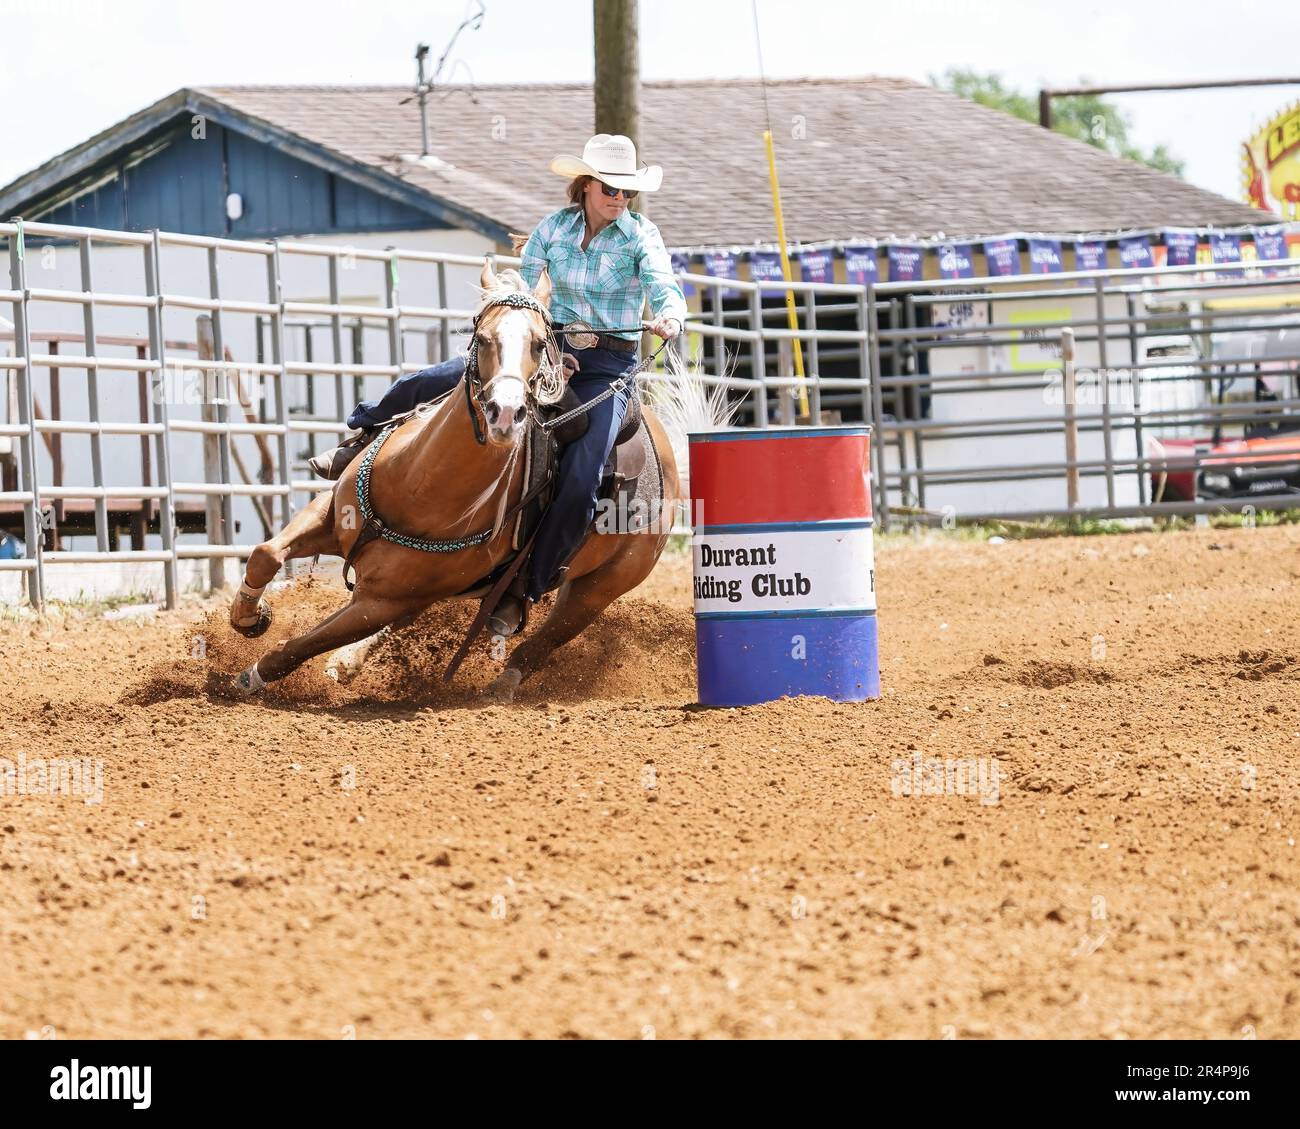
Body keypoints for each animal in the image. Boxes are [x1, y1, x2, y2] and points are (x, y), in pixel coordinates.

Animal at [224, 265, 691, 707]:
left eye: (539, 344)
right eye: (482, 338)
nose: (506, 413)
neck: (418, 484)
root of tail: (666, 450)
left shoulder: (383, 602)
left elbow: (299, 646)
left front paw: (250, 676)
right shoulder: (328, 516)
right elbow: (265, 554)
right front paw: (249, 616)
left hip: (597, 591)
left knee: (540, 644)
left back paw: (500, 686)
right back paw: (347, 662)